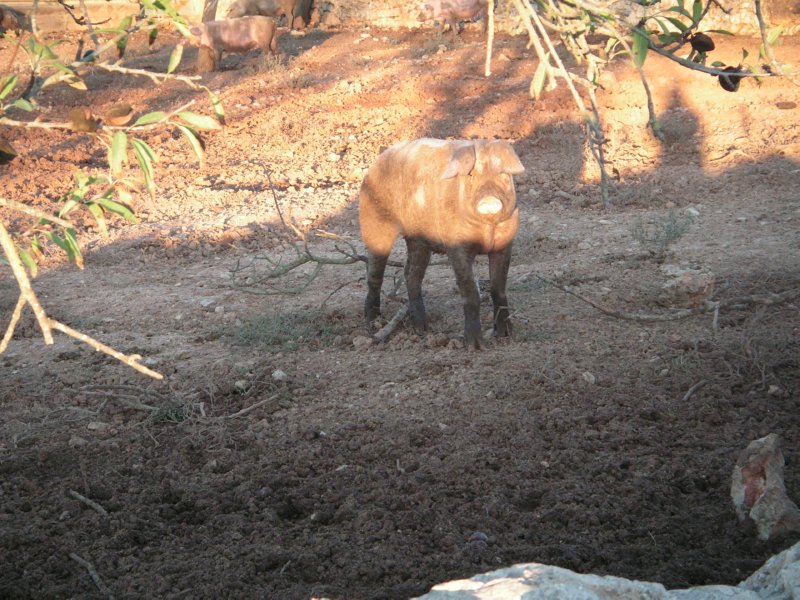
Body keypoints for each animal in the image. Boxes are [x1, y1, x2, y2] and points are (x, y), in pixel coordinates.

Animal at [358, 138, 524, 350]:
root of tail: (376, 162)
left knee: (411, 275)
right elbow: (470, 292)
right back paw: (374, 325)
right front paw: (475, 347)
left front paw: (507, 336)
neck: (487, 229)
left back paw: (422, 328)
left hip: (417, 241)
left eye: (503, 174)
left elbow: (499, 289)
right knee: (374, 274)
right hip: (373, 220)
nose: (489, 199)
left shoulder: (505, 245)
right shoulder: (457, 247)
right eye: (471, 176)